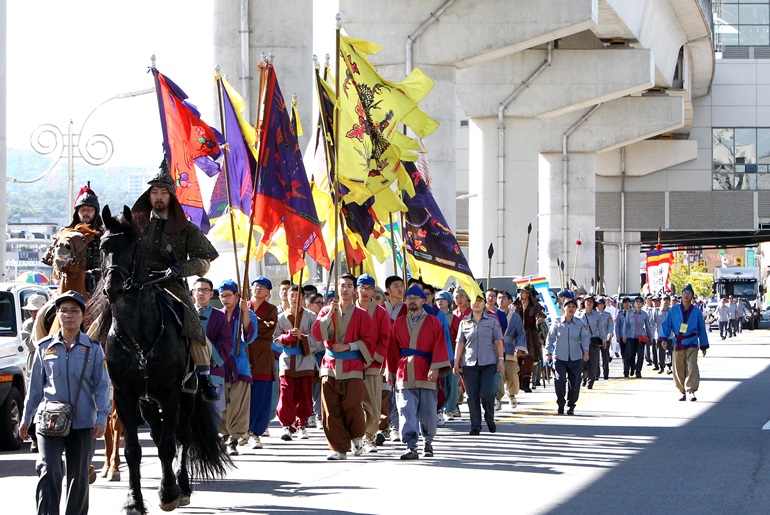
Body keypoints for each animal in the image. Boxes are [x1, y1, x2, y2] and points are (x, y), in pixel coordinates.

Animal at [94, 207, 230, 515]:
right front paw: (133, 500)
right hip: (147, 402)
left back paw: (183, 487)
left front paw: (168, 493)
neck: (138, 335)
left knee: (181, 437)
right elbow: (133, 449)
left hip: (187, 396)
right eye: (103, 247)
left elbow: (170, 444)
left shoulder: (170, 394)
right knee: (157, 435)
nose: (113, 289)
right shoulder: (126, 395)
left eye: (131, 246)